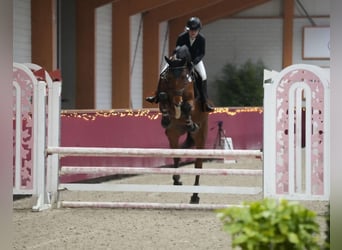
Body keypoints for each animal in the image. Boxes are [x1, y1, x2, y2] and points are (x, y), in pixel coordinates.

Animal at [157, 45, 208, 204]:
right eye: (168, 78)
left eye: (186, 78)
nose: (177, 101)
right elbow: (163, 97)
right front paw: (166, 117)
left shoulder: (191, 100)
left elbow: (187, 107)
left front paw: (189, 120)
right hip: (173, 133)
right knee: (176, 154)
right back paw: (176, 179)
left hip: (200, 137)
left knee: (198, 165)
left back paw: (195, 196)